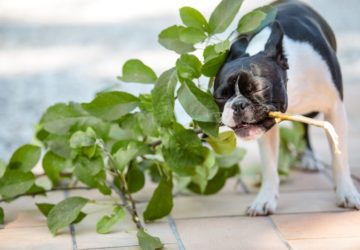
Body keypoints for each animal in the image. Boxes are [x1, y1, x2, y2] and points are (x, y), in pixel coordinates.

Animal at [214, 0, 360, 215]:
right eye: (220, 96)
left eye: (260, 88)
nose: (238, 104)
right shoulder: (265, 130)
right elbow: (269, 165)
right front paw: (265, 199)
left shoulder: (335, 110)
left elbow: (339, 155)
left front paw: (347, 193)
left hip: (314, 110)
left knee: (306, 127)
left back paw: (309, 157)